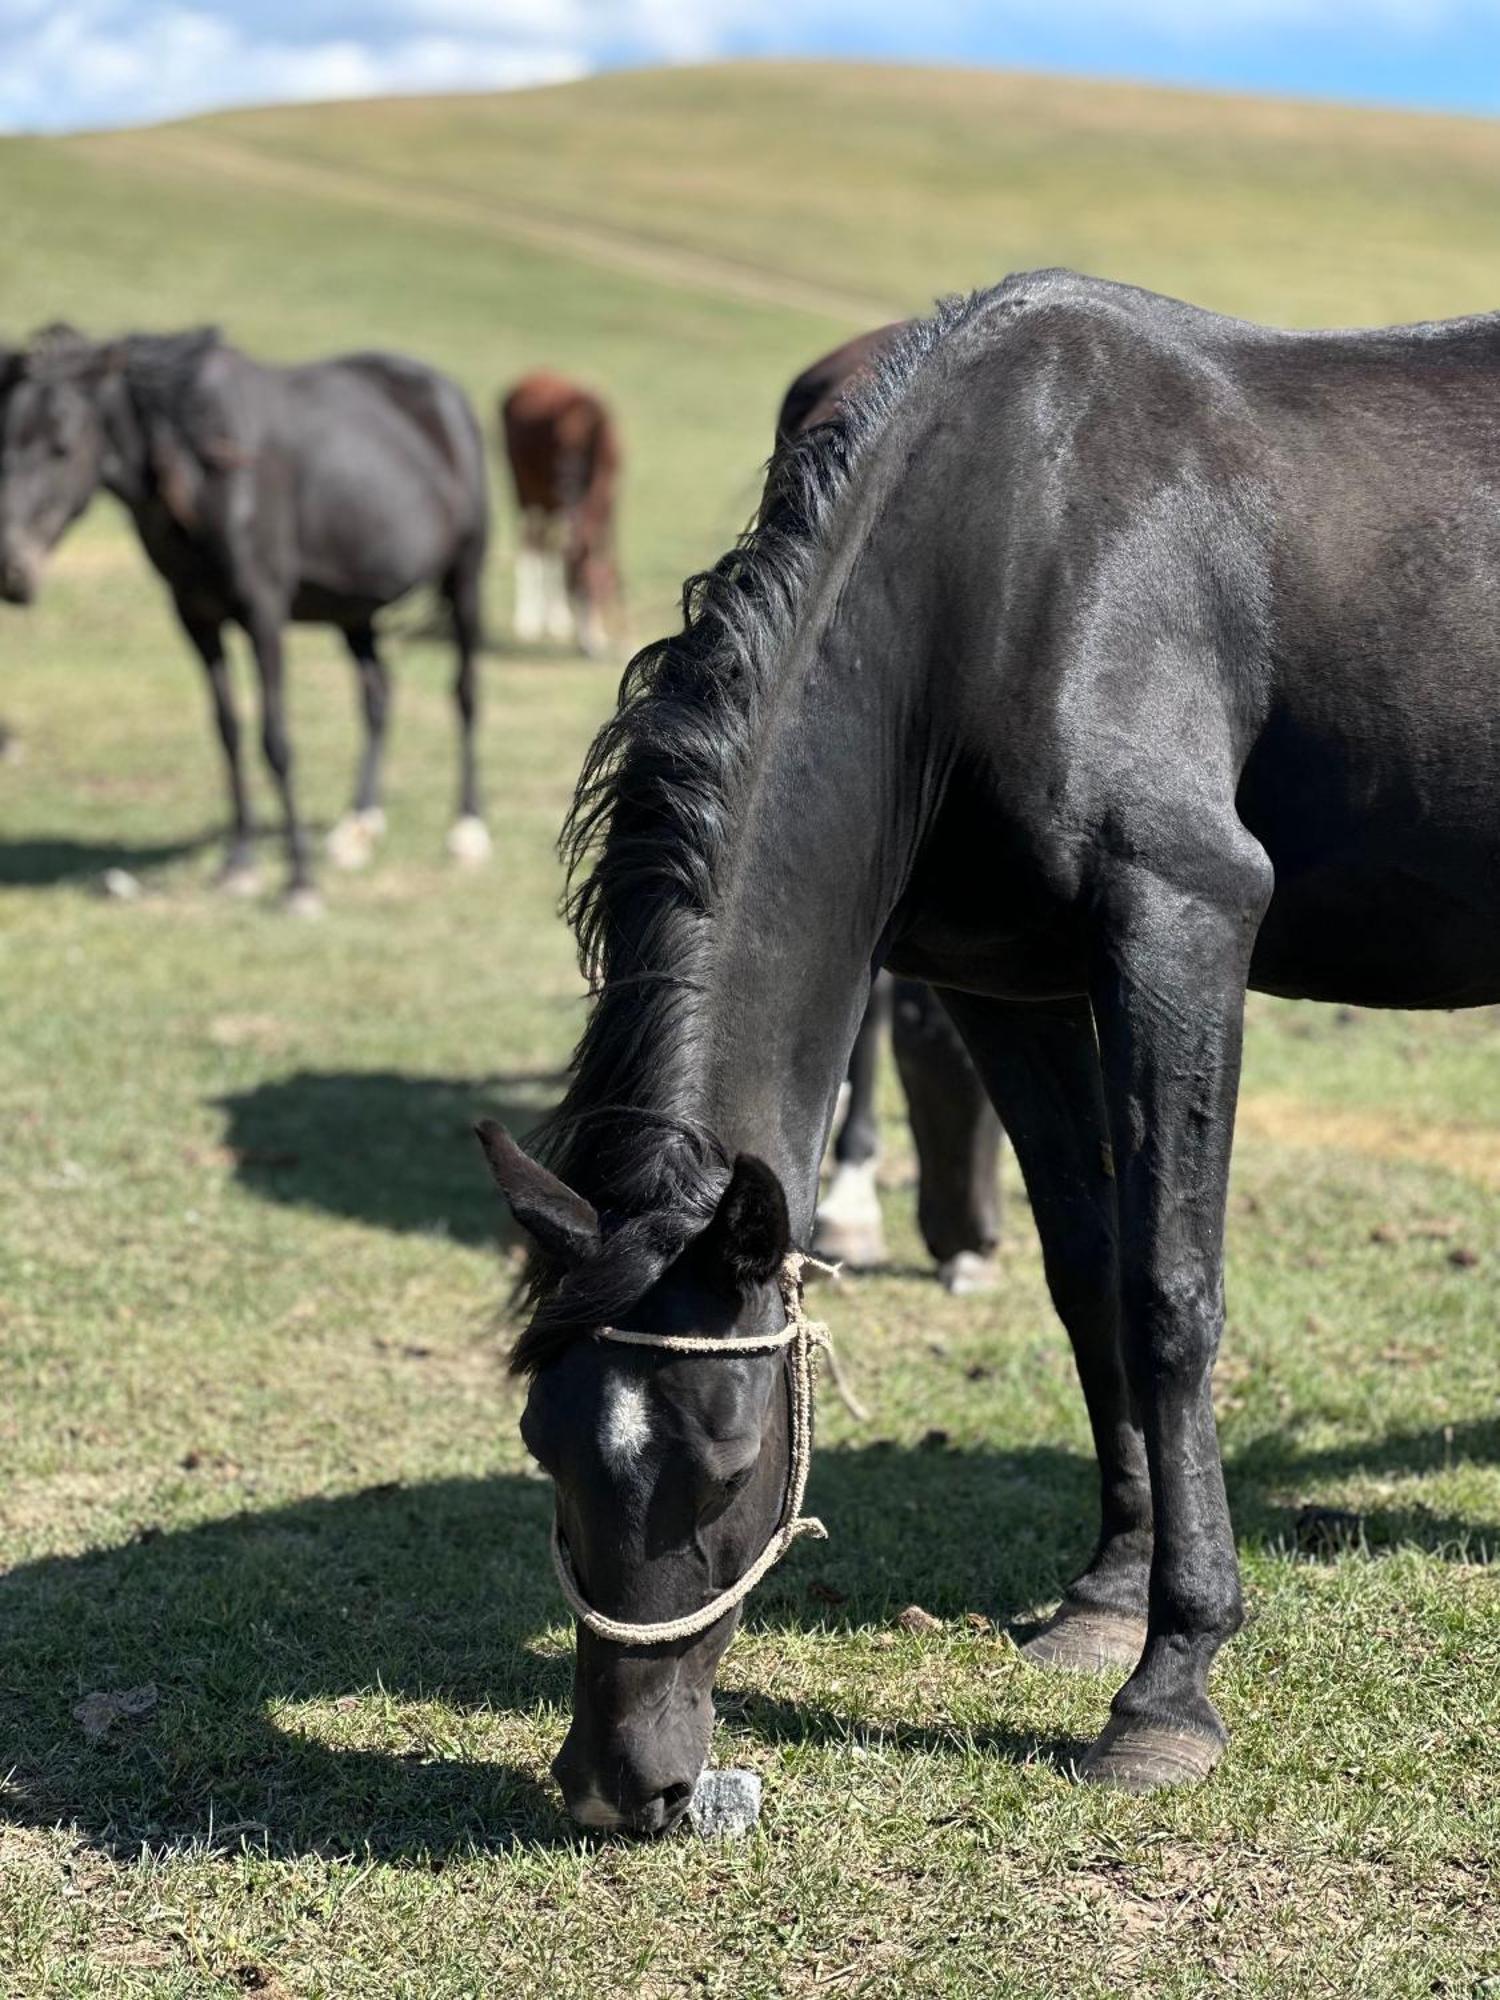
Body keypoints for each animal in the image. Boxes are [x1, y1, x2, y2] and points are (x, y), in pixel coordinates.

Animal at [0, 326, 494, 908]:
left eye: (61, 446)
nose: (11, 568)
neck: (204, 466)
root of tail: (444, 391)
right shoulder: (195, 616)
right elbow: (228, 732)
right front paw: (239, 863)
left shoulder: (263, 613)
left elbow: (274, 740)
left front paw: (299, 881)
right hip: (354, 607)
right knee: (377, 696)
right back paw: (358, 827)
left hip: (465, 577)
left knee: (464, 692)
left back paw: (467, 829)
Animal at [506, 370, 624, 656]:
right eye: (575, 591)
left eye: (602, 595)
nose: (589, 648)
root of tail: (531, 377)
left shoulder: (611, 495)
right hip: (526, 486)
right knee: (532, 538)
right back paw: (528, 620)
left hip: (549, 499)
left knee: (550, 542)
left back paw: (556, 620)